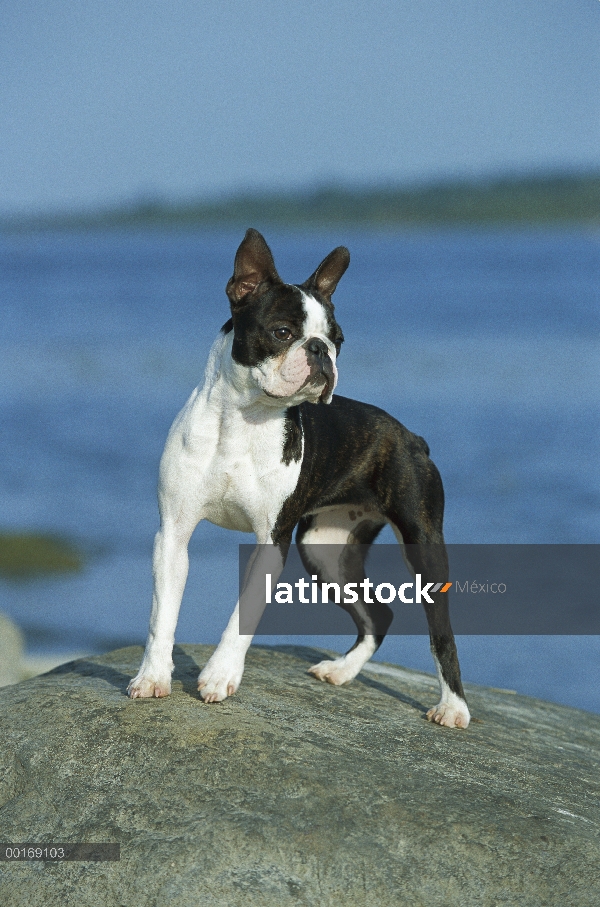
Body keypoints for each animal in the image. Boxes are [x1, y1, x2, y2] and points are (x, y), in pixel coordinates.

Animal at [129, 229, 472, 732]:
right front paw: (153, 677)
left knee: (440, 631)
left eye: (339, 340)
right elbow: (162, 615)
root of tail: (412, 437)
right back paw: (342, 670)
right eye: (283, 332)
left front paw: (219, 676)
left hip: (422, 543)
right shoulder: (173, 534)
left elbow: (244, 613)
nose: (320, 351)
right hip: (325, 551)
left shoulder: (271, 542)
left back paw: (453, 707)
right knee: (380, 614)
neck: (243, 420)